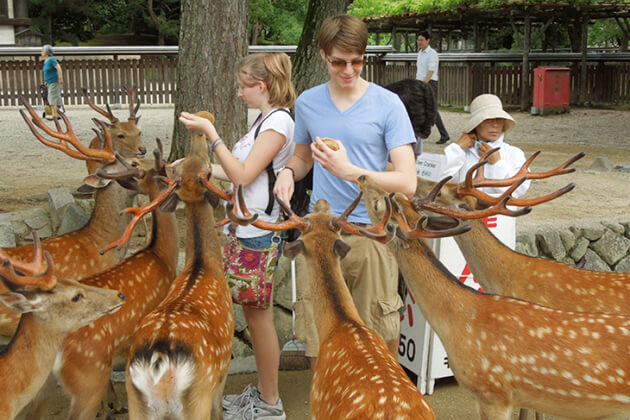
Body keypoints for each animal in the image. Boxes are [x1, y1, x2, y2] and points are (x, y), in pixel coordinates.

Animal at [123, 111, 235, 420]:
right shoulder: (222, 371)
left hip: (136, 401)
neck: (203, 265)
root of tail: (159, 360)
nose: (200, 125)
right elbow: (220, 409)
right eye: (209, 169)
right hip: (198, 394)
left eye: (183, 165)